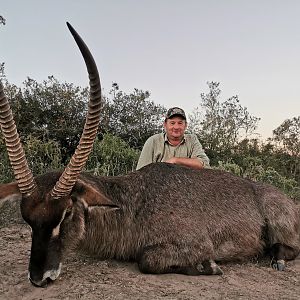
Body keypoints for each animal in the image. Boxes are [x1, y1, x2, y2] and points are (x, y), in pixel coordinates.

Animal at [0, 24, 300, 288]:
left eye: (66, 214)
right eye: (28, 220)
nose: (39, 278)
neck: (133, 203)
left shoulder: (195, 243)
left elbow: (147, 260)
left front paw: (208, 266)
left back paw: (274, 257)